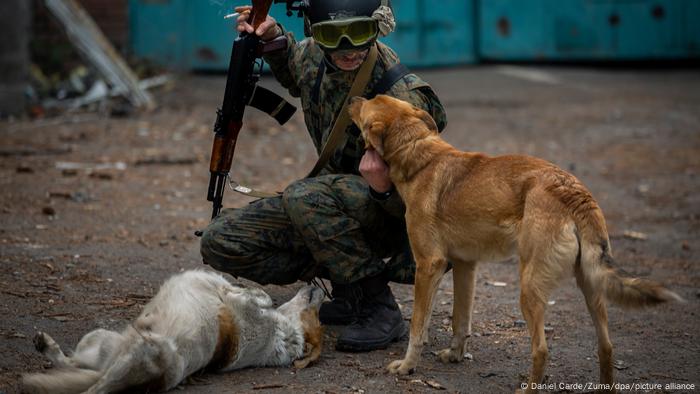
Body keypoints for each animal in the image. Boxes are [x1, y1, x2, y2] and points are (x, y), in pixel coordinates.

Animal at [348, 94, 680, 390]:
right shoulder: (465, 266)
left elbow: (418, 326)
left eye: (367, 104)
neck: (418, 153)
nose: (352, 98)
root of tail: (572, 190)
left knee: (541, 349)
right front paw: (455, 355)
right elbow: (460, 321)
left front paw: (406, 367)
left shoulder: (429, 266)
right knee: (607, 347)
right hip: (591, 287)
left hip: (529, 288)